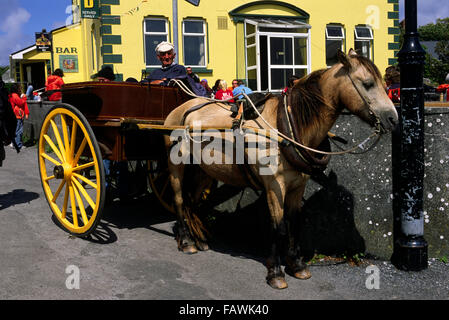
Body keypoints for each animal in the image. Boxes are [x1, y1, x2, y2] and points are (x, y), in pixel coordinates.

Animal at [163, 48, 398, 288]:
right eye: (368, 83)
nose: (393, 118)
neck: (286, 128)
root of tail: (180, 109)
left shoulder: (298, 186)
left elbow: (294, 223)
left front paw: (297, 265)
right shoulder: (274, 186)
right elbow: (278, 226)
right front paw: (275, 272)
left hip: (203, 170)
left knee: (192, 200)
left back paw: (199, 239)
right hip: (177, 165)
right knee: (179, 198)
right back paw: (186, 241)